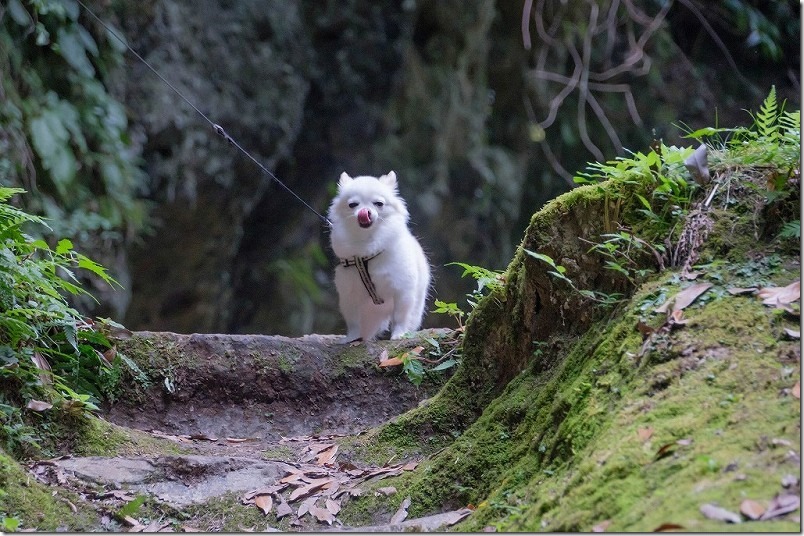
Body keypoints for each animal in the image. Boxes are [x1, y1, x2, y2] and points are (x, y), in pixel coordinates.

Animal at [326, 170, 430, 342]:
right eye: (353, 204)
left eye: (379, 203)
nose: (364, 212)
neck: (368, 247)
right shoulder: (349, 296)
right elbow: (353, 322)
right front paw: (351, 338)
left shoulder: (402, 290)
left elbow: (400, 317)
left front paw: (399, 334)